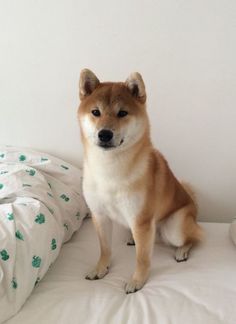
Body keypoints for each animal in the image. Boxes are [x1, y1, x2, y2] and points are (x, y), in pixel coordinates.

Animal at [78, 68, 203, 294]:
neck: (109, 170)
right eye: (95, 112)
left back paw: (182, 250)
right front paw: (100, 268)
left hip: (174, 228)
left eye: (122, 113)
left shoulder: (141, 221)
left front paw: (137, 280)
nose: (105, 134)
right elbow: (104, 248)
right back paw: (131, 239)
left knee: (194, 237)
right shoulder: (99, 215)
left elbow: (142, 258)